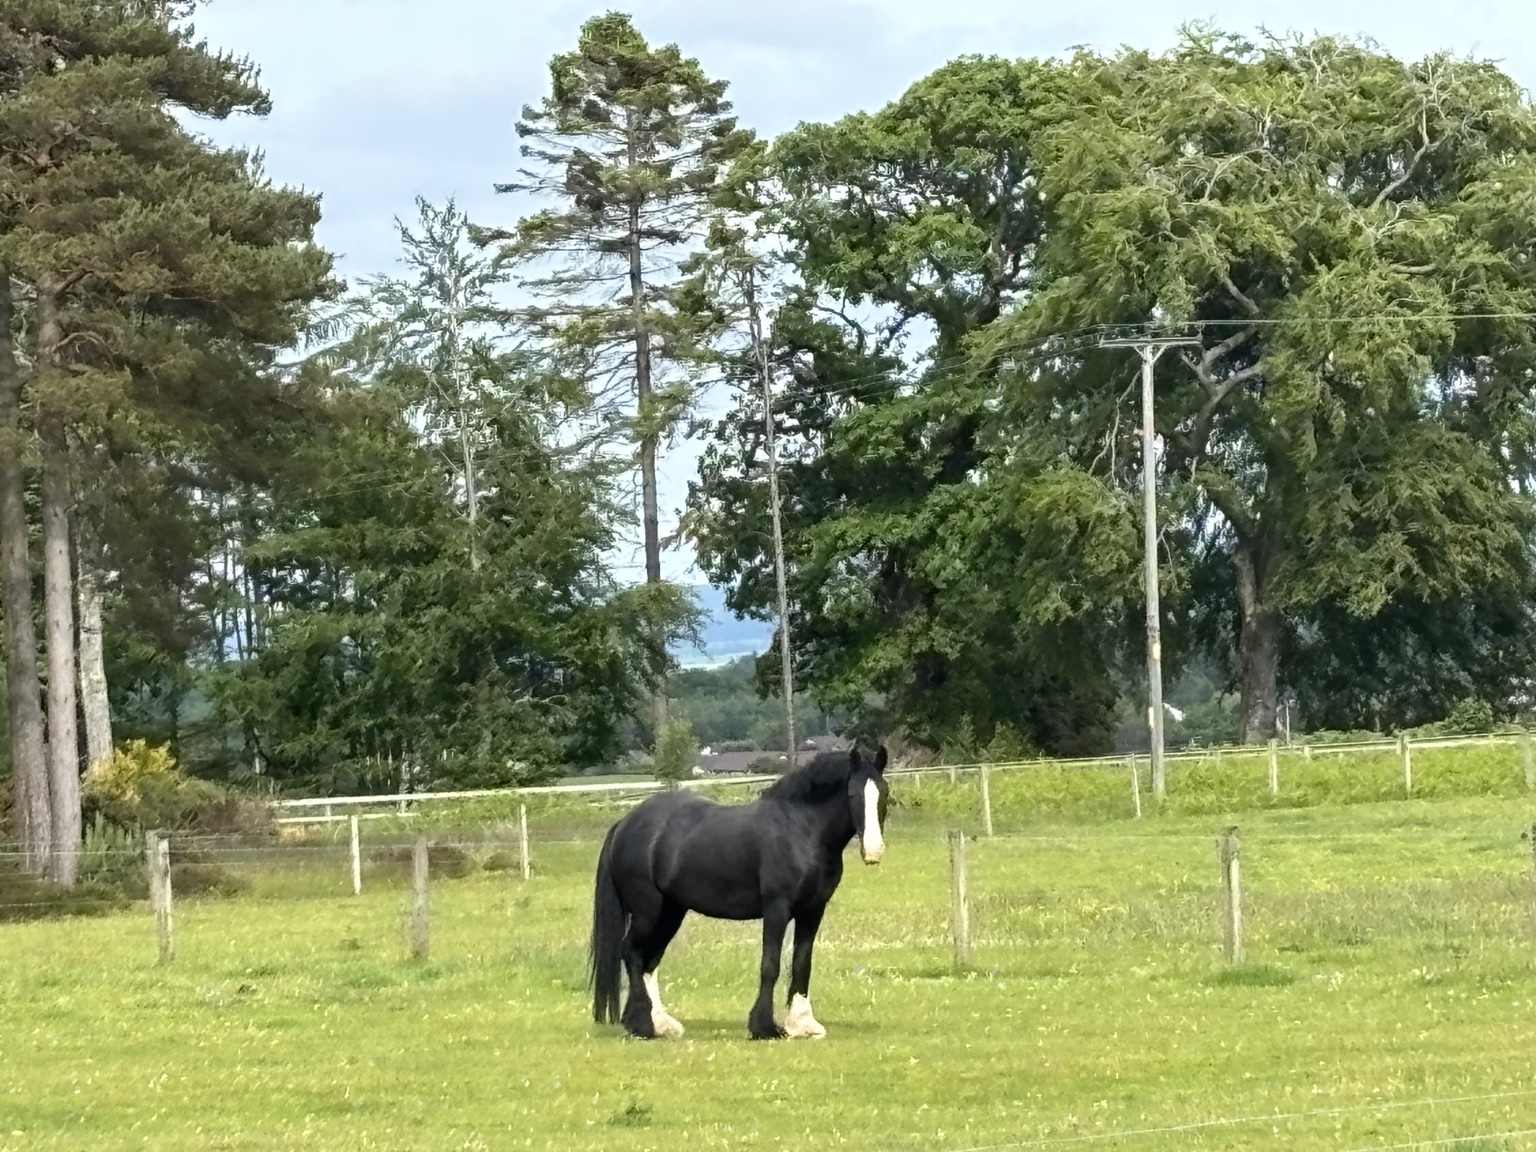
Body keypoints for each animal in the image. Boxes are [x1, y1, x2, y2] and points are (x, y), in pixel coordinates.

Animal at [588, 745, 890, 1040]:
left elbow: (802, 963)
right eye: (852, 794)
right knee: (631, 952)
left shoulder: (813, 910)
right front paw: (764, 1027)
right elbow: (770, 965)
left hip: (671, 912)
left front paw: (803, 1024)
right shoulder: (777, 908)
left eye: (884, 793)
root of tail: (624, 823)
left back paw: (659, 1023)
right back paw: (643, 1024)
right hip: (648, 911)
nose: (873, 851)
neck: (800, 830)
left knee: (648, 960)